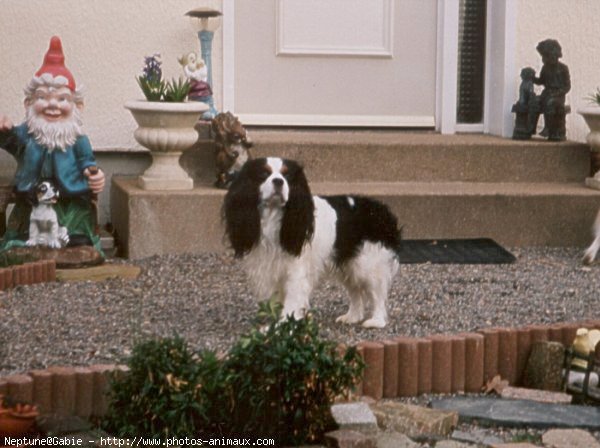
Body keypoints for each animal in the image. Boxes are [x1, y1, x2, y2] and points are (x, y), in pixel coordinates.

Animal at [223, 158, 400, 328]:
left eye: (287, 176)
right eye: (263, 174)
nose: (278, 181)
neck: (273, 215)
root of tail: (383, 211)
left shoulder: (296, 270)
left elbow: (292, 300)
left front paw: (284, 326)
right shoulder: (272, 269)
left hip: (368, 263)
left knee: (377, 293)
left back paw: (376, 321)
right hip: (348, 263)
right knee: (355, 290)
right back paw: (352, 317)